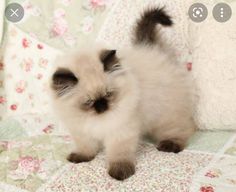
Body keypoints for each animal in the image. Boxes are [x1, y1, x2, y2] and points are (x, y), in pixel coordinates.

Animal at [49, 7, 195, 181]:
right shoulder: (82, 131)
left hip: (165, 114)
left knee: (182, 129)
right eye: (89, 102)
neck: (98, 120)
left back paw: (170, 144)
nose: (101, 106)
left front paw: (120, 172)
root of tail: (152, 49)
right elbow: (86, 147)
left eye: (108, 94)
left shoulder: (120, 131)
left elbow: (119, 154)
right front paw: (82, 157)